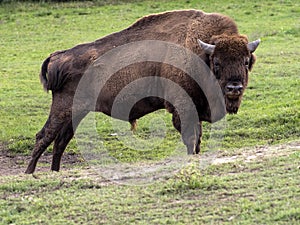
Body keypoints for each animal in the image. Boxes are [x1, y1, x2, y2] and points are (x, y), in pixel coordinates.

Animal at [25, 9, 260, 173]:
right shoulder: (183, 108)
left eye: (245, 61)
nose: (234, 88)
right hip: (62, 108)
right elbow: (191, 138)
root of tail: (58, 56)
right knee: (44, 136)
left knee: (60, 141)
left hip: (76, 113)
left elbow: (198, 139)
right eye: (217, 63)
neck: (200, 54)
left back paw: (54, 172)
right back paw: (30, 173)